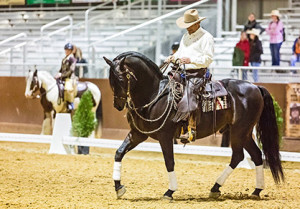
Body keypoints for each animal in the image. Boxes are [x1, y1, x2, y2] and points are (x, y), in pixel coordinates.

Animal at [103, 51, 284, 200]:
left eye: (121, 79)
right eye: (110, 80)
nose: (118, 105)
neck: (155, 94)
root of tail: (255, 86)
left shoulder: (165, 136)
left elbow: (169, 162)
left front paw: (170, 192)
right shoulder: (138, 134)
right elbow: (119, 153)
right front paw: (118, 188)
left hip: (240, 131)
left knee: (238, 156)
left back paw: (217, 187)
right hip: (242, 132)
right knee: (255, 155)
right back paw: (253, 190)